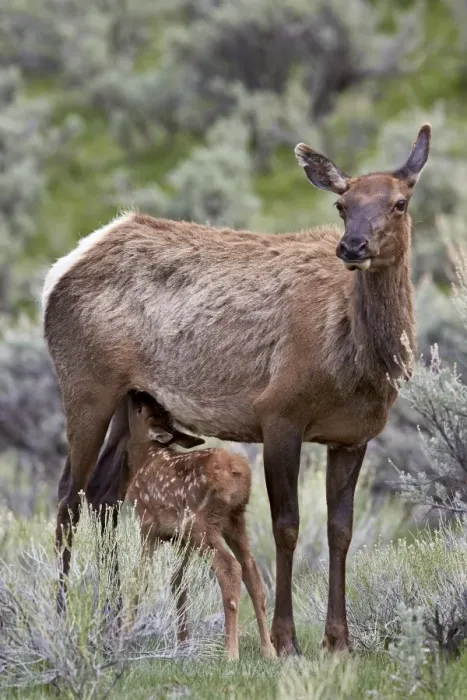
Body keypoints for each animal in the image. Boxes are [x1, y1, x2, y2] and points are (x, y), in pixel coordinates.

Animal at [124, 390, 276, 661]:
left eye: (141, 407)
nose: (135, 391)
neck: (143, 461)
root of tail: (239, 472)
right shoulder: (179, 538)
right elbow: (178, 582)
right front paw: (183, 643)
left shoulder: (147, 523)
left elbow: (140, 577)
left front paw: (124, 634)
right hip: (234, 520)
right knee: (252, 569)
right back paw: (269, 651)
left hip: (201, 523)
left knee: (230, 568)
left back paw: (231, 653)